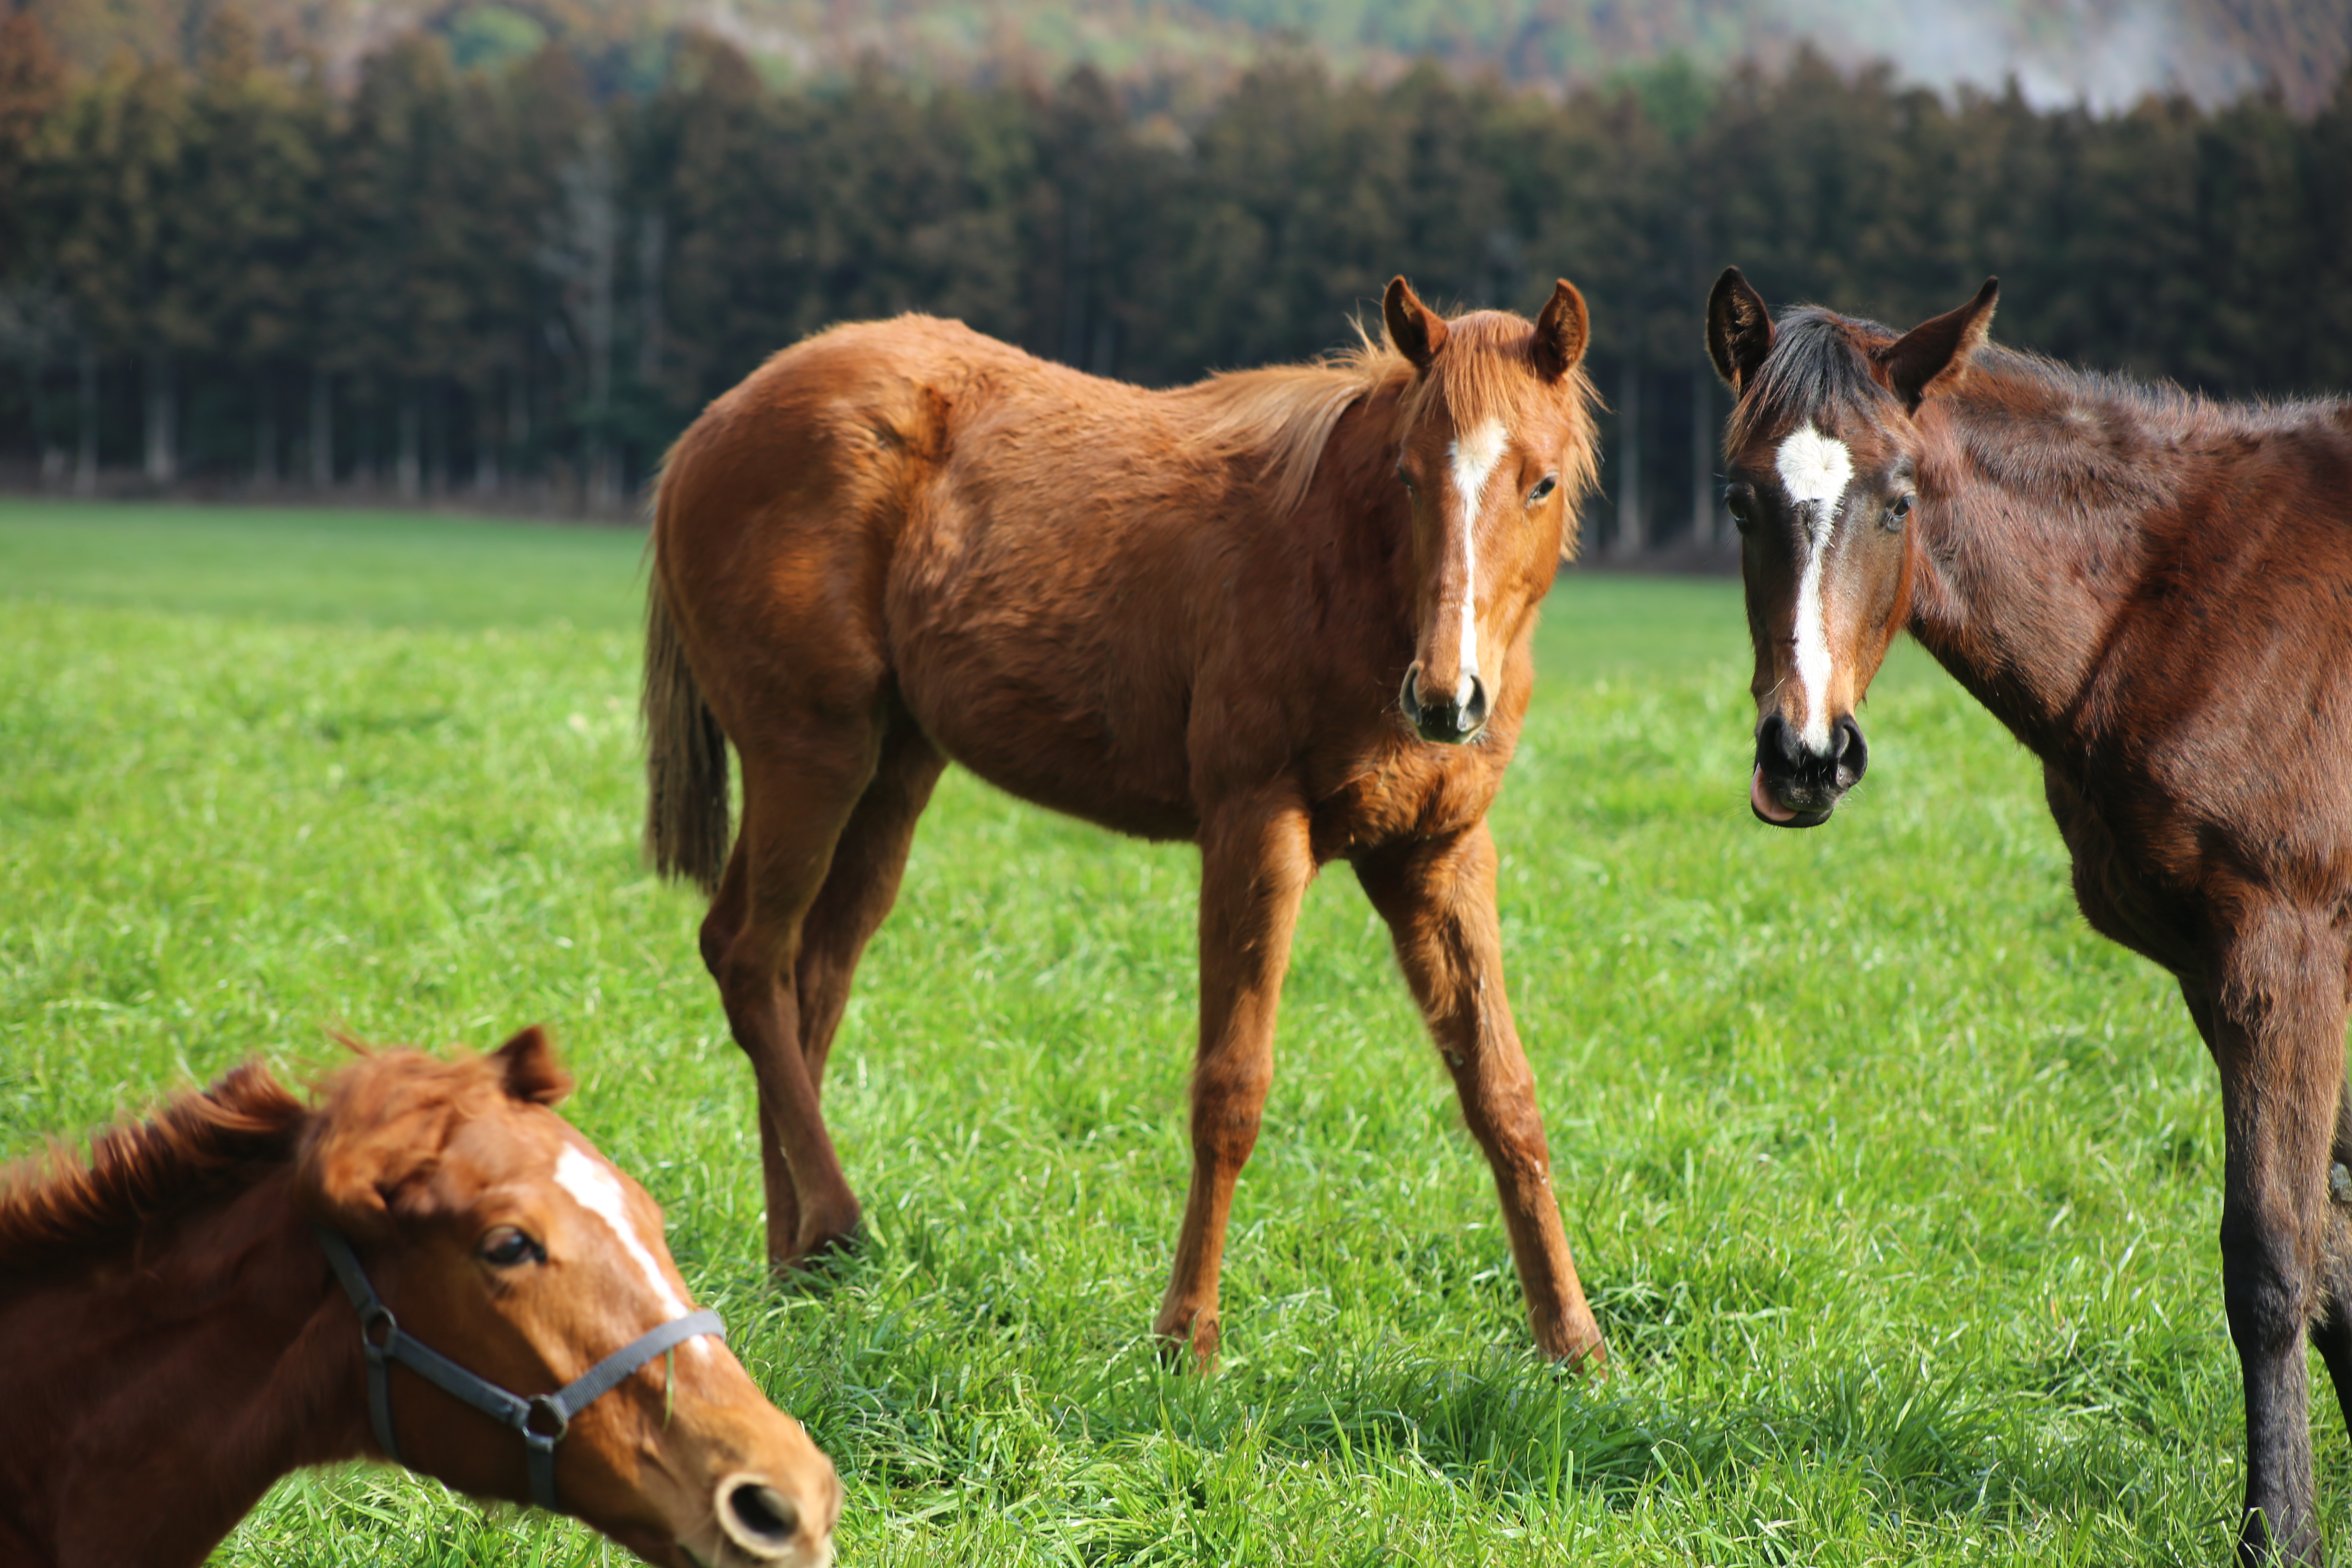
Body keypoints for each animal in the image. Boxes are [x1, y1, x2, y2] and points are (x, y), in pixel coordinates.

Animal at [654, 276, 1608, 1363]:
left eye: (1540, 483)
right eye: (1407, 478)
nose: (1447, 699)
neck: (1341, 573)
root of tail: (707, 431)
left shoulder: (1437, 857)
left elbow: (1504, 1094)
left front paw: (1574, 1341)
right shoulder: (1254, 832)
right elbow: (1230, 1088)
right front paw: (1187, 1334)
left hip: (891, 773)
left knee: (810, 982)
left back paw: (796, 1258)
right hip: (810, 759)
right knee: (749, 958)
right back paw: (836, 1226)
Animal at [1712, 263, 2352, 1561]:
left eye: (1898, 500)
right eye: (1741, 500)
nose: (1803, 758)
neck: (2179, 602)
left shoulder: (2286, 953)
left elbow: (2275, 1260)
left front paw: (2280, 1534)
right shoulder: (2227, 968)